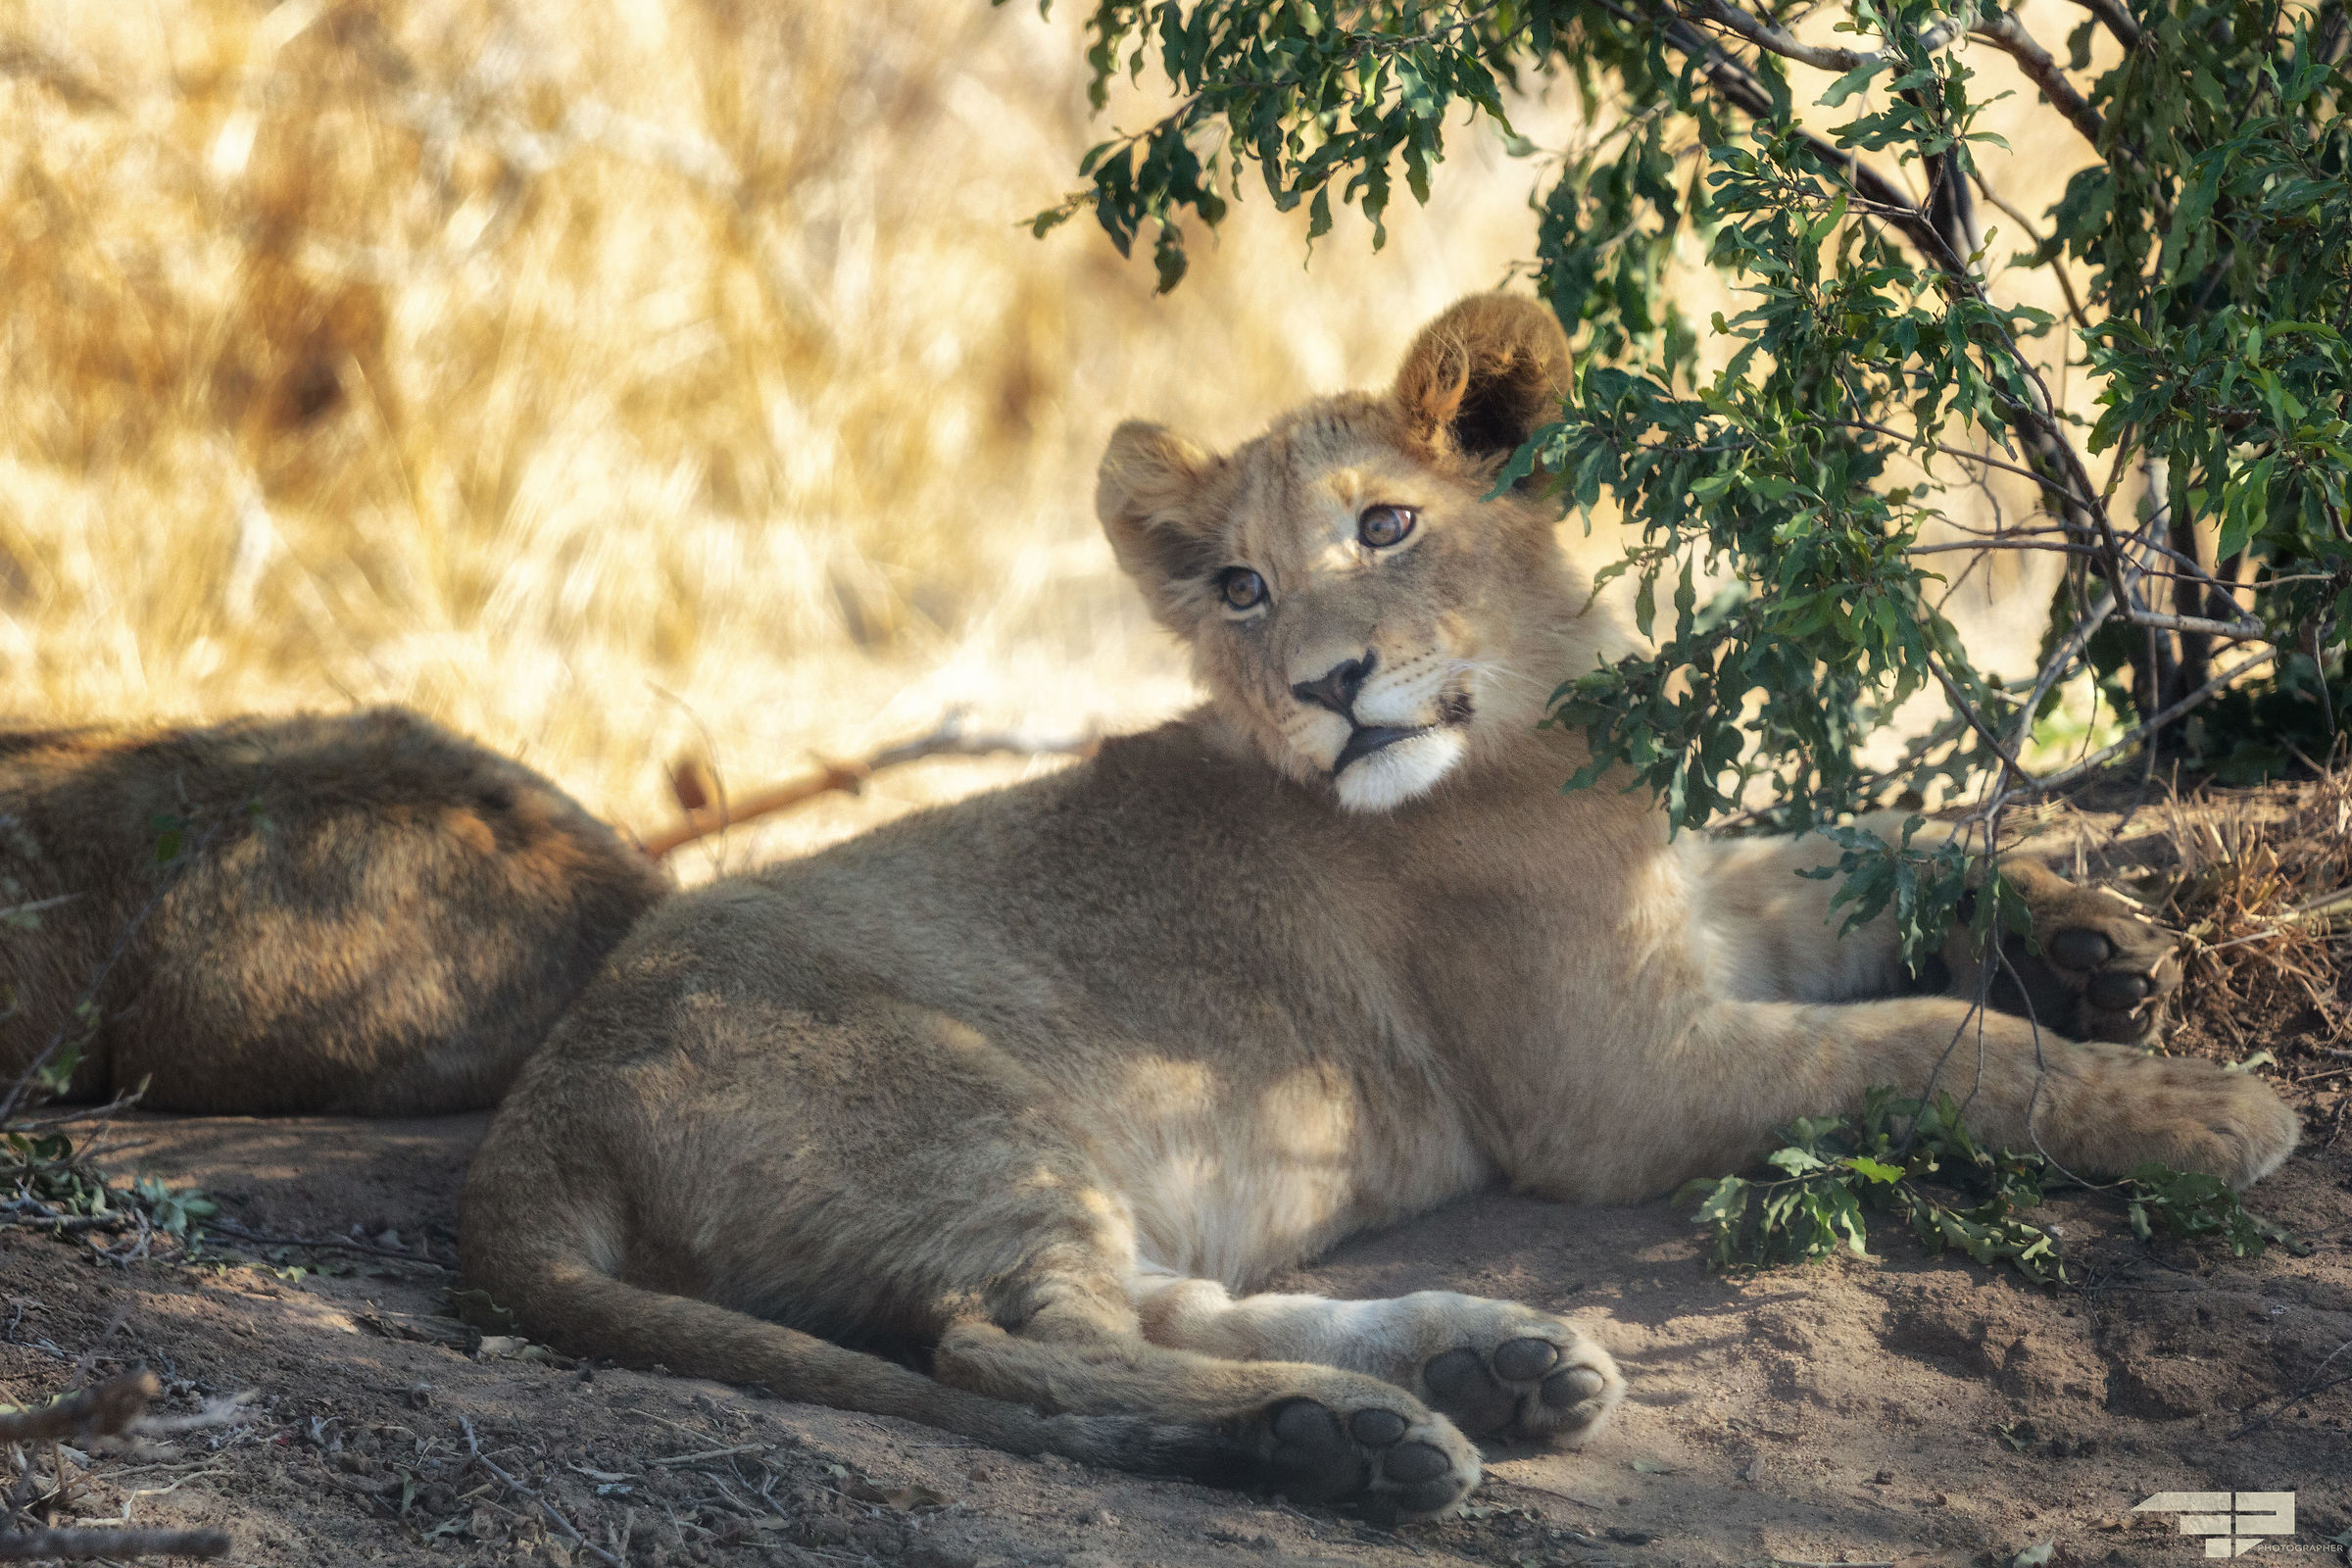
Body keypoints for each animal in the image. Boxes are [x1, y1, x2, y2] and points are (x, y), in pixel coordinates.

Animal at [459, 293, 2296, 1519]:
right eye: (1240, 587)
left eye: (1391, 524)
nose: (1328, 687)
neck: (1548, 716)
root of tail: (539, 1119)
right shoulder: (1619, 1084)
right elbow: (1927, 1043)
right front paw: (2203, 1107)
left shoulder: (1692, 901)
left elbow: (1874, 841)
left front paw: (2095, 945)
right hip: (972, 1116)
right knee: (1012, 1351)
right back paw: (1357, 1443)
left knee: (1157, 1306)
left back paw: (1485, 1371)